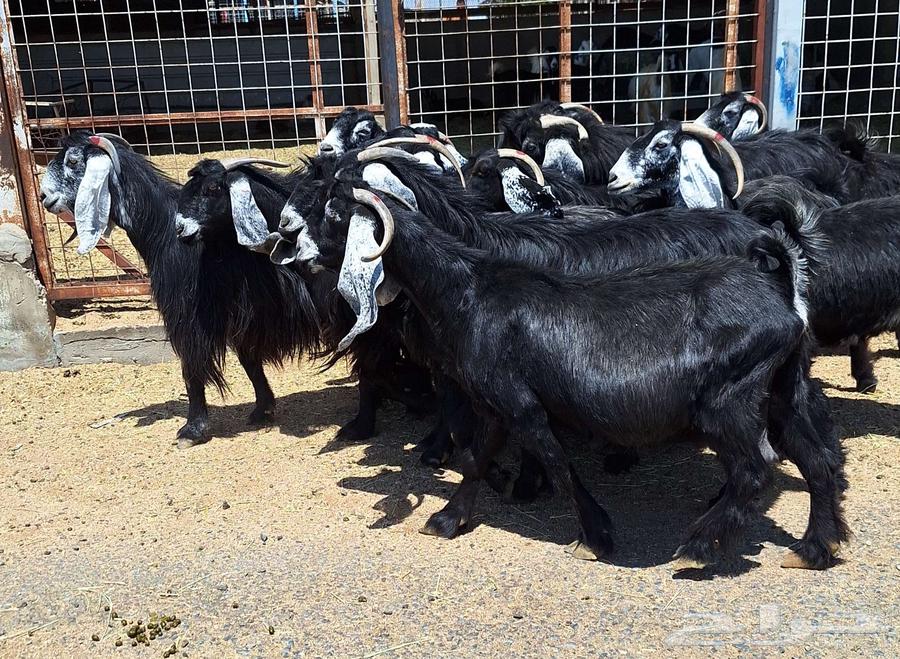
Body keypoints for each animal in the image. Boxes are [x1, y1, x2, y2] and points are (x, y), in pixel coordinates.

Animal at [38, 133, 321, 448]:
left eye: (74, 161)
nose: (44, 197)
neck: (162, 230)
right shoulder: (242, 311)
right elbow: (248, 359)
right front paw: (263, 408)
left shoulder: (187, 314)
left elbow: (192, 369)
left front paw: (193, 429)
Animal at [290, 172, 847, 571]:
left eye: (334, 213)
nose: (288, 247)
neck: (469, 289)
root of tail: (781, 295)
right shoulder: (494, 403)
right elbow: (475, 458)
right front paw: (448, 518)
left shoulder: (522, 404)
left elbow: (558, 464)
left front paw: (596, 536)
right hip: (782, 390)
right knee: (816, 460)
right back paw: (815, 548)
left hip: (727, 402)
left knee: (755, 471)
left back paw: (698, 546)